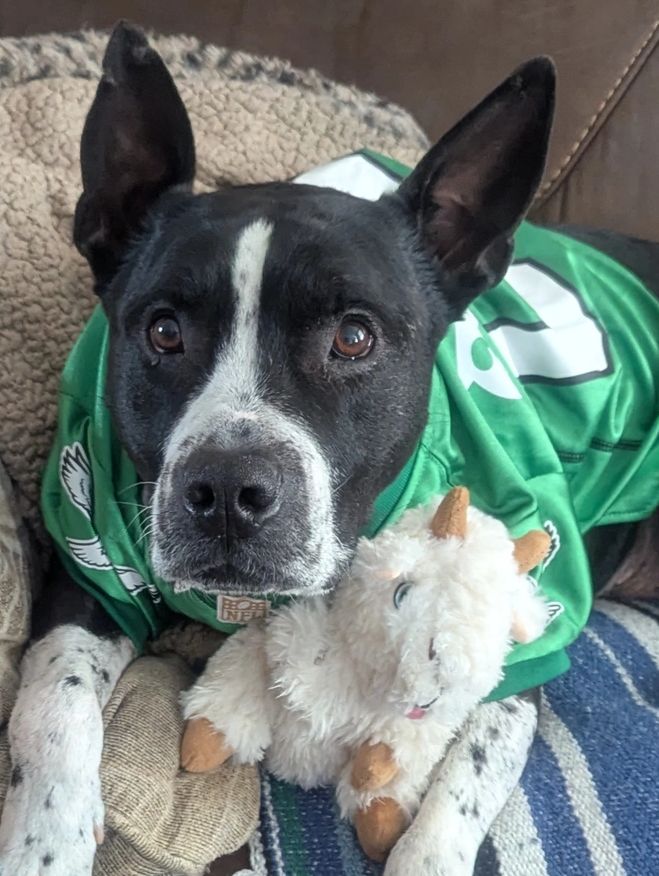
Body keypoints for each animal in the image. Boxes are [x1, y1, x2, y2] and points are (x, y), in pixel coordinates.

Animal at [0, 20, 657, 876]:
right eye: (164, 331)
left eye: (353, 337)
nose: (225, 492)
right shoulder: (88, 574)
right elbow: (52, 707)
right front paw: (44, 843)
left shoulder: (523, 639)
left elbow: (463, 784)